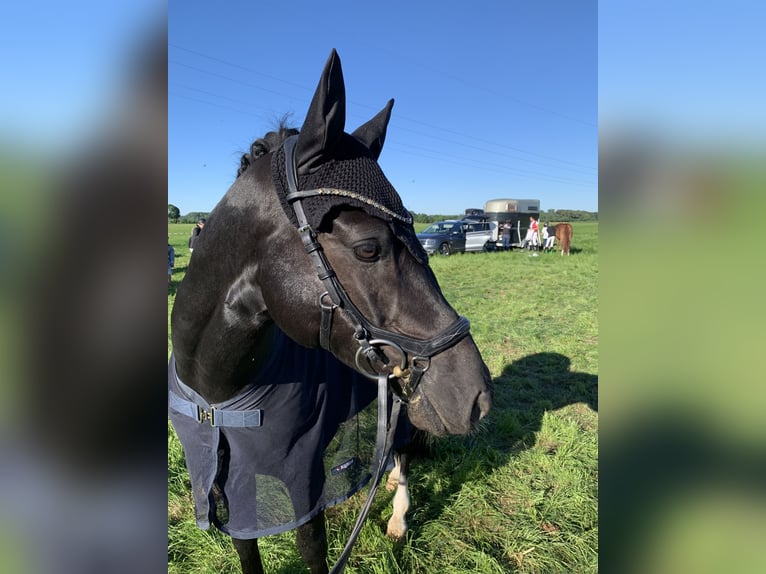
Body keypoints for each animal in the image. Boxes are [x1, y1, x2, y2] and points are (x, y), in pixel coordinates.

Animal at [169, 50, 492, 574]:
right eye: (368, 248)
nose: (477, 396)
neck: (219, 393)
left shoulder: (303, 487)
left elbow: (312, 550)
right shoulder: (227, 486)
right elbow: (246, 551)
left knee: (403, 454)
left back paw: (397, 518)